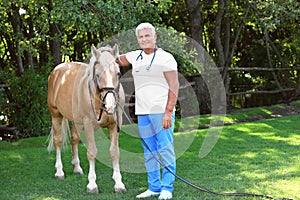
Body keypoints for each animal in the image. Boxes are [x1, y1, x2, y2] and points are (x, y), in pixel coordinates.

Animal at [46, 44, 125, 194]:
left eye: (118, 73)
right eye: (97, 74)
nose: (110, 106)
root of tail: (57, 71)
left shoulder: (114, 125)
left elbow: (115, 152)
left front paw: (119, 184)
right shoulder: (88, 125)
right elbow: (92, 152)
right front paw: (92, 185)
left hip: (76, 121)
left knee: (74, 138)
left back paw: (77, 168)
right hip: (56, 115)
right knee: (58, 141)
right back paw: (59, 172)